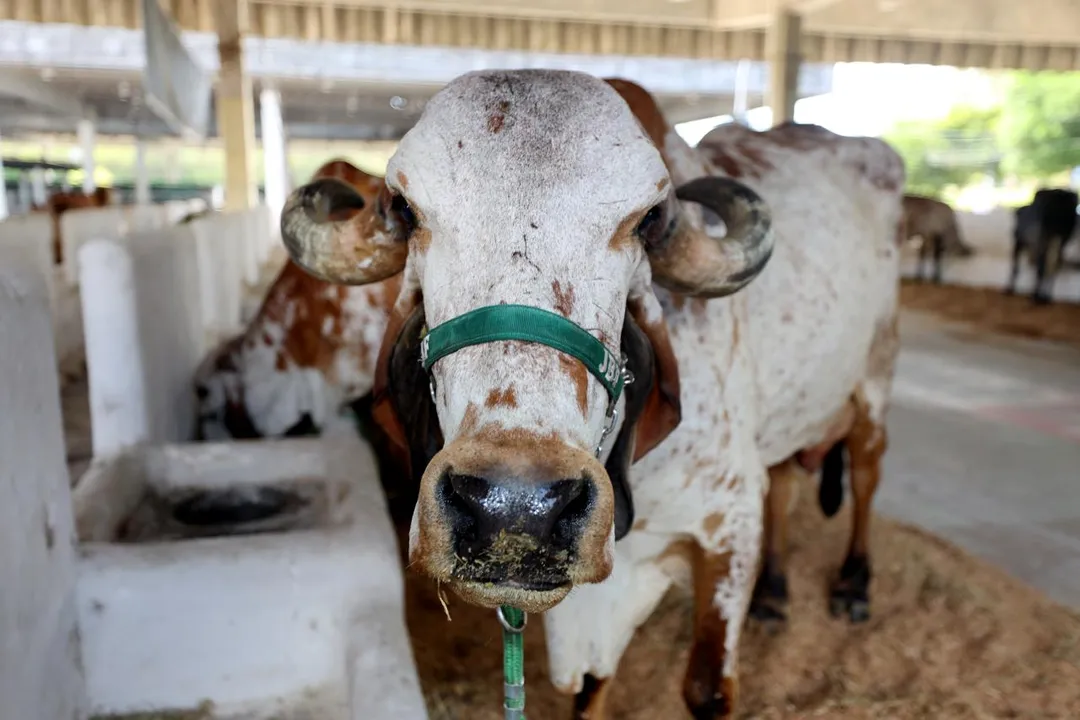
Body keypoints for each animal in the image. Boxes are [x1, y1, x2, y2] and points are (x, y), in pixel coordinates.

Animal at [276, 71, 902, 720]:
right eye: (404, 208)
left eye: (648, 220)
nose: (516, 508)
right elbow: (592, 688)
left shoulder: (730, 521)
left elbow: (706, 690)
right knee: (784, 480)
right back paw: (774, 595)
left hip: (876, 378)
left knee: (865, 471)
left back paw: (854, 583)